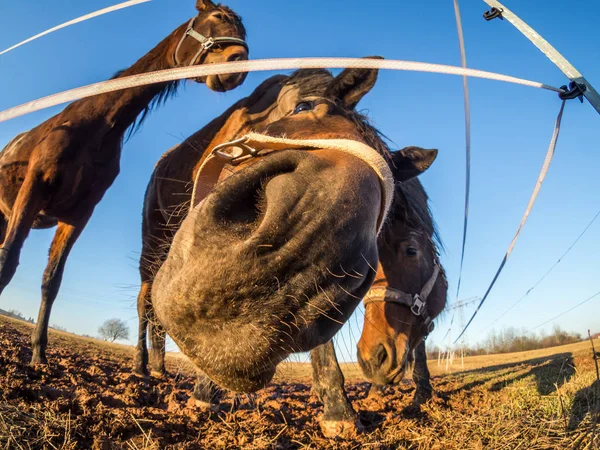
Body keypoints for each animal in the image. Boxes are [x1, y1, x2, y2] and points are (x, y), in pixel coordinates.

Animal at [0, 0, 248, 366]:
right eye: (217, 17)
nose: (238, 62)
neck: (97, 125)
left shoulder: (78, 214)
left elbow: (51, 280)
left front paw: (38, 353)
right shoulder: (33, 191)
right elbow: (8, 261)